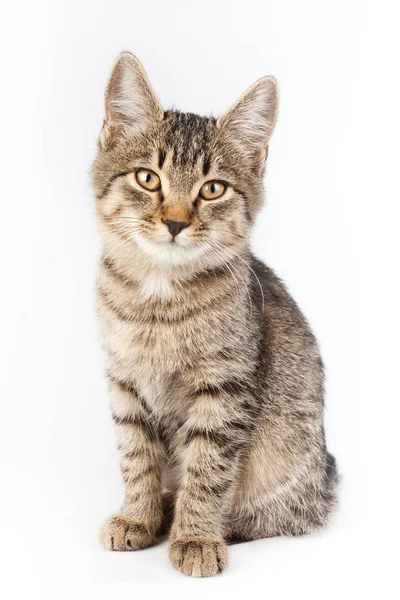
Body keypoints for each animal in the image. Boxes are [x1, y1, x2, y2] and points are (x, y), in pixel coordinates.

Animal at [90, 54, 338, 580]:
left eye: (213, 189)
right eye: (148, 178)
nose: (175, 222)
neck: (159, 302)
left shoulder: (225, 390)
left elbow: (207, 469)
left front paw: (196, 535)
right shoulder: (123, 380)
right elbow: (135, 454)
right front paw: (138, 515)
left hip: (291, 471)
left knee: (272, 516)